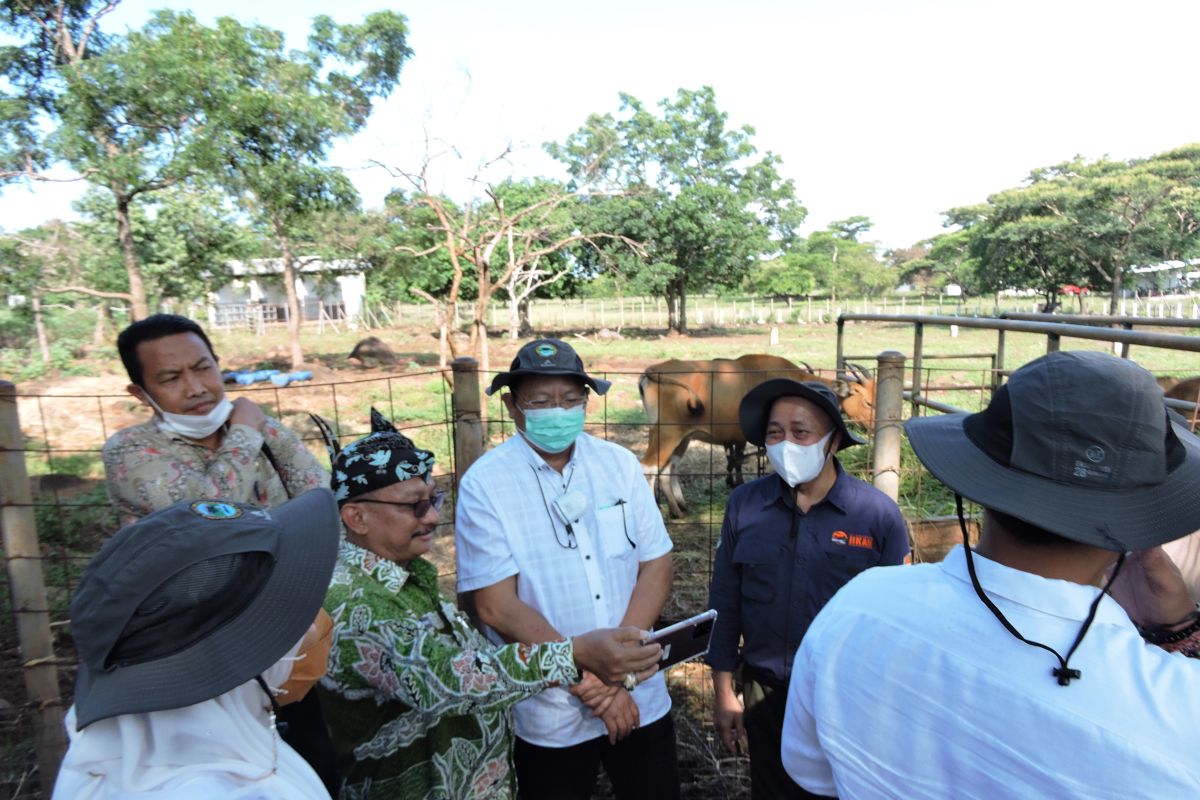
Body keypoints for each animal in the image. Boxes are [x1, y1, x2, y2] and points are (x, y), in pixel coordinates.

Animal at [638, 355, 873, 520]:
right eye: (868, 402)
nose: (873, 424)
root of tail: (654, 371)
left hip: (681, 437)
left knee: (667, 468)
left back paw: (677, 508)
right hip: (666, 433)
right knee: (648, 468)